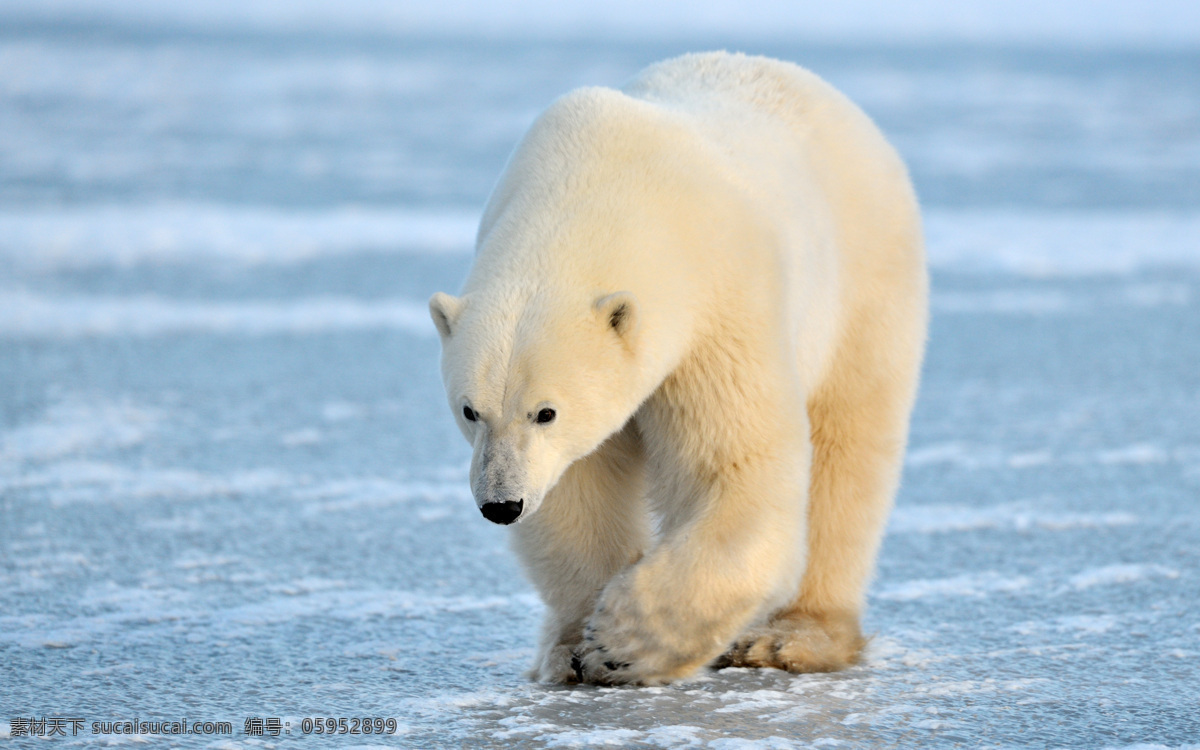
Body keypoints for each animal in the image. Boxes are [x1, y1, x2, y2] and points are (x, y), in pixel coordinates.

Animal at [432, 52, 926, 686]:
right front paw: (575, 647)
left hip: (864, 286)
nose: (501, 504)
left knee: (849, 452)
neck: (602, 186)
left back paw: (793, 637)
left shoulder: (719, 305)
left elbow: (735, 469)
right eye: (470, 410)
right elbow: (576, 490)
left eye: (546, 412)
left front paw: (621, 641)